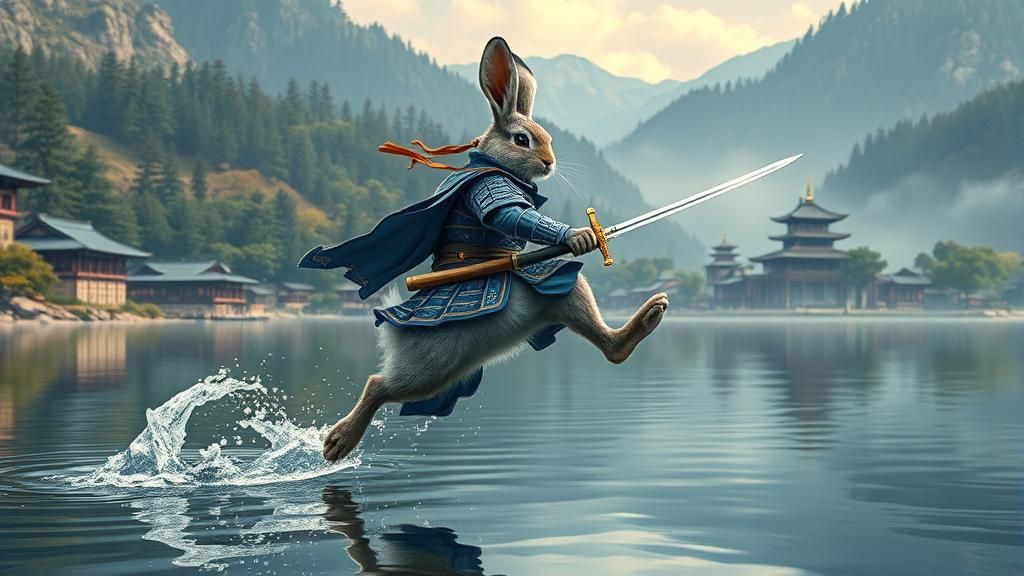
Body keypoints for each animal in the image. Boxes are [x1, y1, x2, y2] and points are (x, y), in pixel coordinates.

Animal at [322, 37, 668, 462]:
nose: (549, 163)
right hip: (429, 364)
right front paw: (579, 236)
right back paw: (337, 442)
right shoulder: (492, 191)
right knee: (376, 385)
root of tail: (389, 325)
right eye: (522, 140)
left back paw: (649, 317)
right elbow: (509, 214)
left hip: (450, 371)